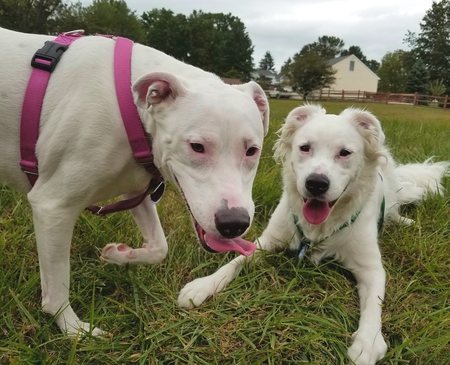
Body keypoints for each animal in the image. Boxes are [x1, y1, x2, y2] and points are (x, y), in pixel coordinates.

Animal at [0, 27, 268, 336]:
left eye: (252, 150)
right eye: (197, 147)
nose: (234, 224)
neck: (130, 107)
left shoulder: (136, 190)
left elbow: (160, 248)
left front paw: (120, 255)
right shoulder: (52, 207)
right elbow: (56, 292)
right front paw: (74, 331)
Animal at [179, 104, 450, 362]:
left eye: (344, 153)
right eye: (305, 148)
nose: (316, 183)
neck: (320, 227)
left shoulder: (371, 268)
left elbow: (375, 303)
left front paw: (368, 341)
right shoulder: (267, 241)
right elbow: (234, 262)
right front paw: (203, 285)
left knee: (393, 210)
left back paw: (405, 221)